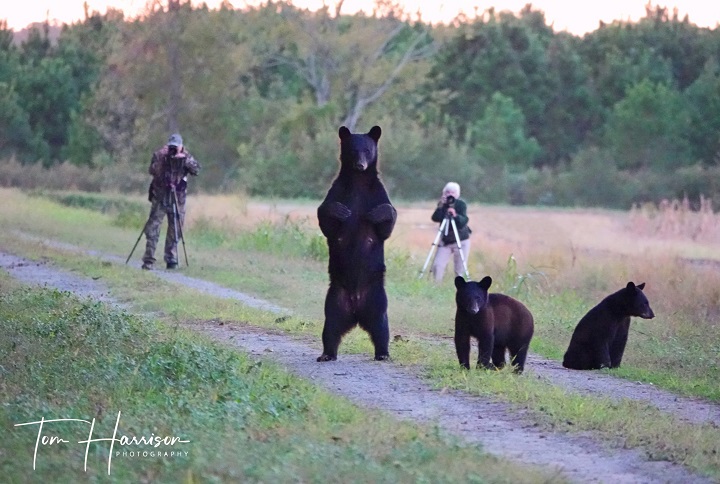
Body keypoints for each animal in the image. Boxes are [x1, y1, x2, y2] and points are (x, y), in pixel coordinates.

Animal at [316, 126, 396, 362]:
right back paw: (327, 354)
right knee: (330, 327)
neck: (358, 181)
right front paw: (340, 210)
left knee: (381, 326)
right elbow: (326, 217)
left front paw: (377, 213)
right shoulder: (337, 190)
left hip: (377, 298)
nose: (360, 164)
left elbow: (387, 221)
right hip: (334, 299)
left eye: (367, 150)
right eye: (353, 150)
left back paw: (383, 353)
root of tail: (356, 312)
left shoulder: (378, 193)